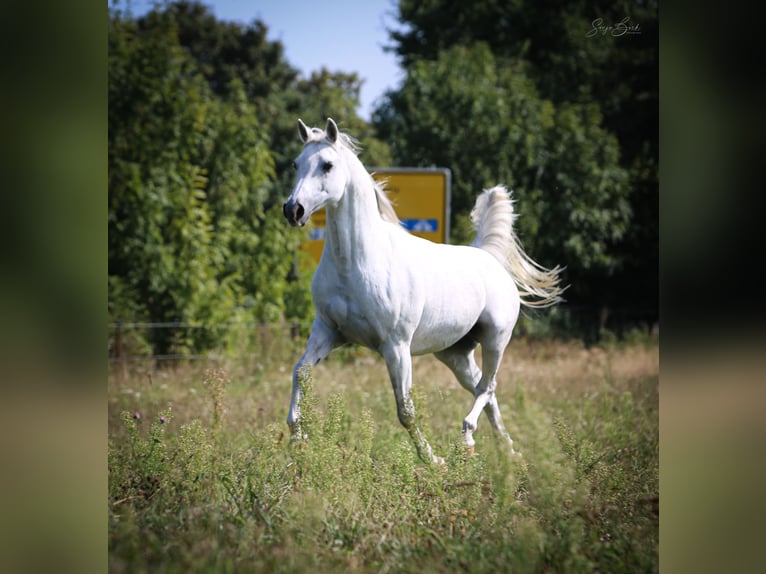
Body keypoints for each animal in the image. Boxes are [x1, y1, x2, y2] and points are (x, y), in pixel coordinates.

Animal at [282, 119, 564, 466]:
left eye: (327, 165)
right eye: (296, 164)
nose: (293, 210)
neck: (357, 264)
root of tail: (487, 257)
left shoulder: (396, 346)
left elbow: (406, 410)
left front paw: (434, 461)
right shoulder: (328, 331)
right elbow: (301, 373)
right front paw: (297, 439)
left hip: (496, 339)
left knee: (487, 387)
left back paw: (469, 439)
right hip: (455, 354)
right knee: (485, 389)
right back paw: (508, 452)